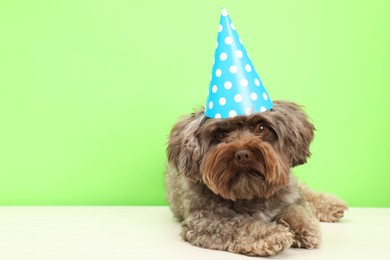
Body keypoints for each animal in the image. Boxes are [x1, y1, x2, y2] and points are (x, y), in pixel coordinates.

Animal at [165, 100, 348, 256]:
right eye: (221, 134)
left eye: (261, 128)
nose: (242, 154)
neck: (250, 193)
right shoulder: (205, 221)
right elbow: (241, 225)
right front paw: (271, 234)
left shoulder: (288, 196)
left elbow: (297, 210)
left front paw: (303, 227)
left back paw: (330, 205)